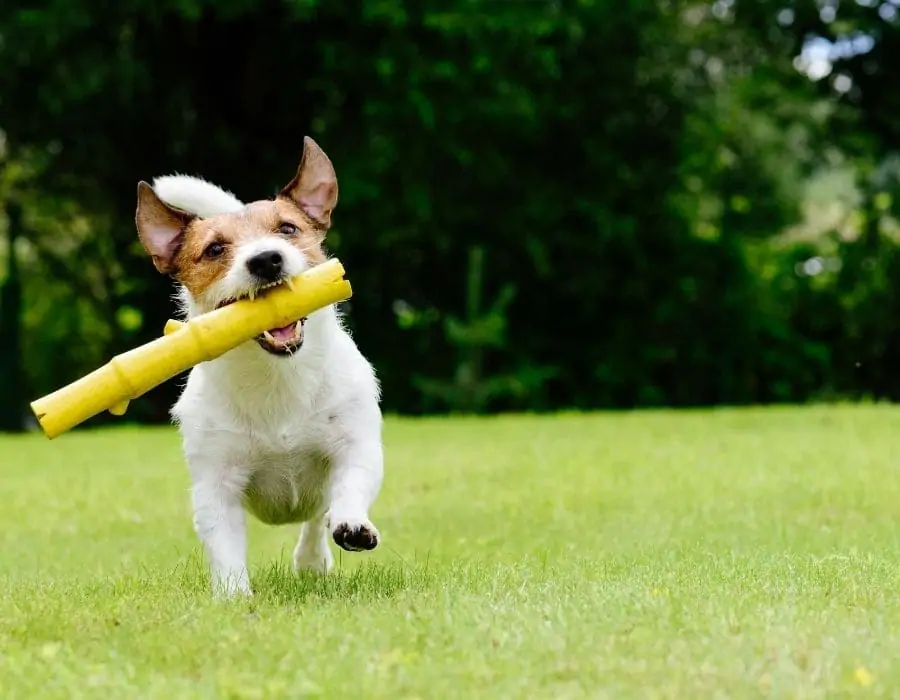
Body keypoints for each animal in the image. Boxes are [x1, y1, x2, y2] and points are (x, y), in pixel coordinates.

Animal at [134, 135, 384, 596]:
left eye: (287, 229)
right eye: (214, 249)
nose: (266, 259)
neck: (276, 377)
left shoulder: (354, 443)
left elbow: (350, 483)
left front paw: (352, 524)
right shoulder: (216, 485)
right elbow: (224, 546)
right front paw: (234, 598)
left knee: (316, 518)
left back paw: (312, 558)